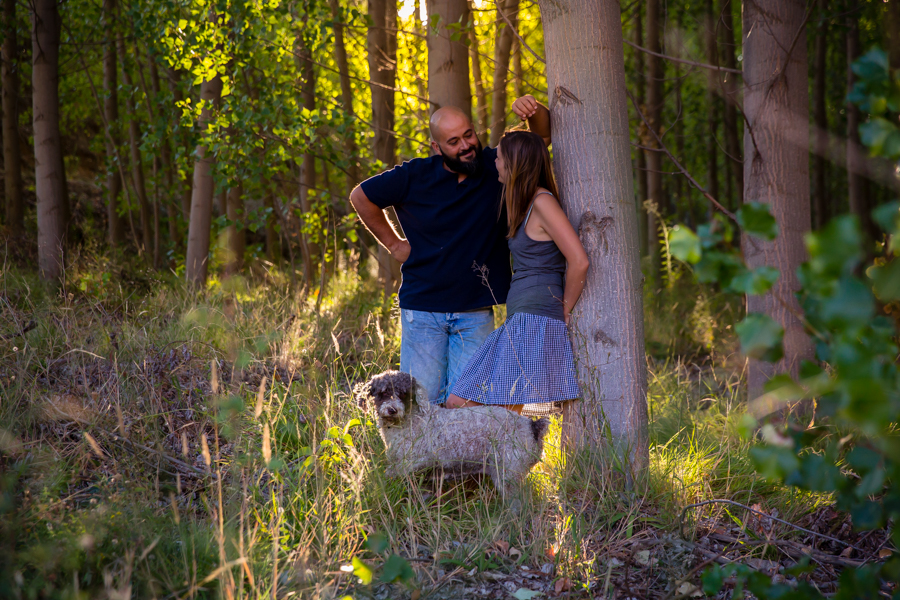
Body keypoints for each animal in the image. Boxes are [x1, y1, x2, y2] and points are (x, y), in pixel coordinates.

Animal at [356, 370, 552, 496]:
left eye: (404, 393)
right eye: (383, 392)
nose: (392, 410)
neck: (410, 421)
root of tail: (532, 426)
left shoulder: (414, 462)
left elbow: (390, 473)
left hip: (508, 473)